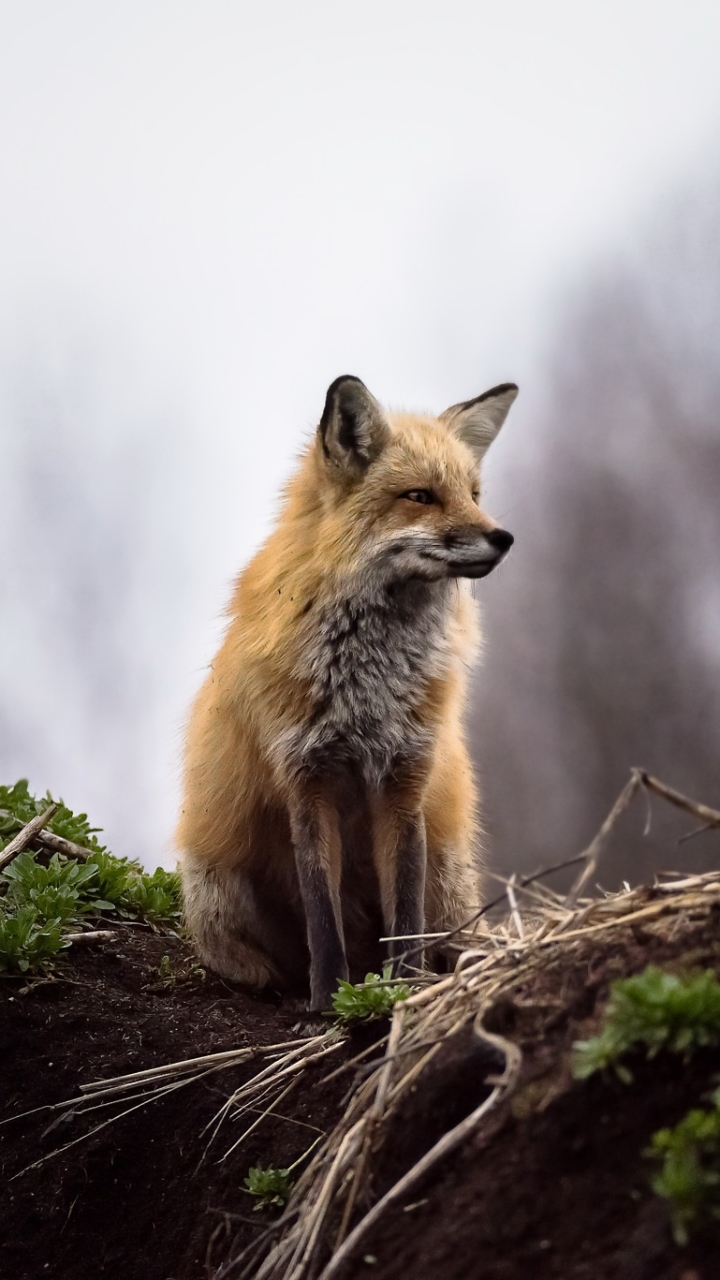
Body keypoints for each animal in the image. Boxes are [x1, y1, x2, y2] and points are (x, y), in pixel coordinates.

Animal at [178, 373, 515, 1008]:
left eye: (474, 493)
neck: (369, 686)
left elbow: (404, 912)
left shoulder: (406, 780)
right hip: (217, 891)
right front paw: (326, 1002)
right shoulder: (306, 780)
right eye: (420, 496)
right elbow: (321, 912)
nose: (503, 537)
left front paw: (402, 990)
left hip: (448, 877)